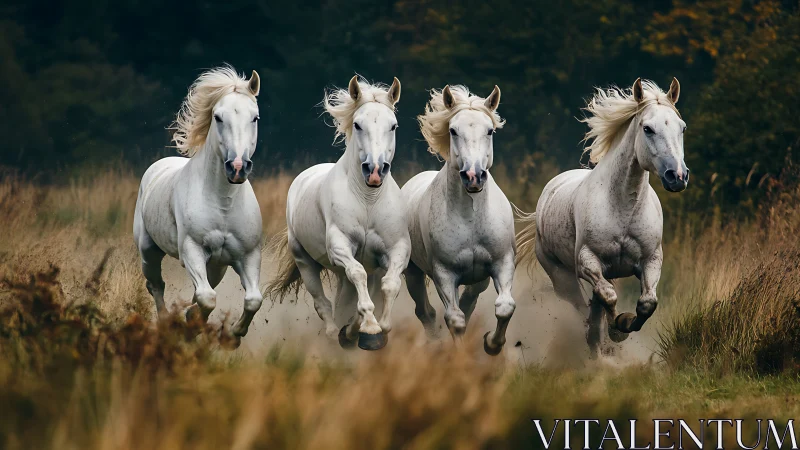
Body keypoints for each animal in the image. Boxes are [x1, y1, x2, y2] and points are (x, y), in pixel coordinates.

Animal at [133, 66, 264, 343]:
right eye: (218, 117)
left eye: (255, 118)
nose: (237, 167)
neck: (223, 203)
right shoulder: (192, 250)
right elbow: (206, 298)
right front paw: (191, 324)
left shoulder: (248, 255)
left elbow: (253, 300)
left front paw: (233, 335)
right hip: (149, 251)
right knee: (156, 285)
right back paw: (165, 324)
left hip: (217, 265)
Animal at [266, 76, 409, 351]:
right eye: (358, 124)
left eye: (394, 126)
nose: (375, 171)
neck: (368, 200)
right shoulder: (340, 247)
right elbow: (357, 275)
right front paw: (368, 326)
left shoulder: (396, 249)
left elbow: (390, 285)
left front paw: (378, 330)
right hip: (304, 260)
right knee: (324, 303)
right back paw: (337, 333)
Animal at [402, 84, 517, 355]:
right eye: (453, 130)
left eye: (490, 130)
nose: (473, 176)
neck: (471, 218)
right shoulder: (444, 273)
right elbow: (454, 319)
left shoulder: (502, 262)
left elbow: (504, 306)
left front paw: (491, 344)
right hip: (412, 273)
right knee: (426, 312)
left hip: (480, 279)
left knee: (468, 302)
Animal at [516, 78, 688, 358]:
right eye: (648, 129)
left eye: (682, 127)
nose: (677, 177)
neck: (623, 207)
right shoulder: (588, 261)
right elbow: (607, 296)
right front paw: (617, 329)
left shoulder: (651, 260)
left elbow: (647, 303)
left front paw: (622, 326)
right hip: (562, 277)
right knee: (584, 304)